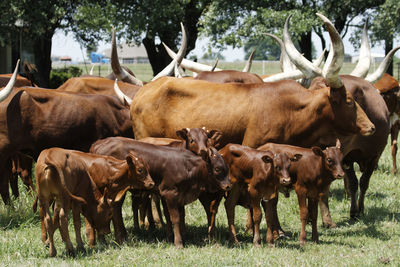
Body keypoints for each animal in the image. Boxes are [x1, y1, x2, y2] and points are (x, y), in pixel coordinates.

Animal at [88, 138, 230, 249]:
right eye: (218, 169)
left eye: (226, 168)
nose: (229, 185)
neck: (188, 167)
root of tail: (99, 143)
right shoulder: (170, 194)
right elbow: (175, 218)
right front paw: (178, 243)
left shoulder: (179, 196)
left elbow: (177, 216)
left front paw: (179, 237)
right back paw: (118, 238)